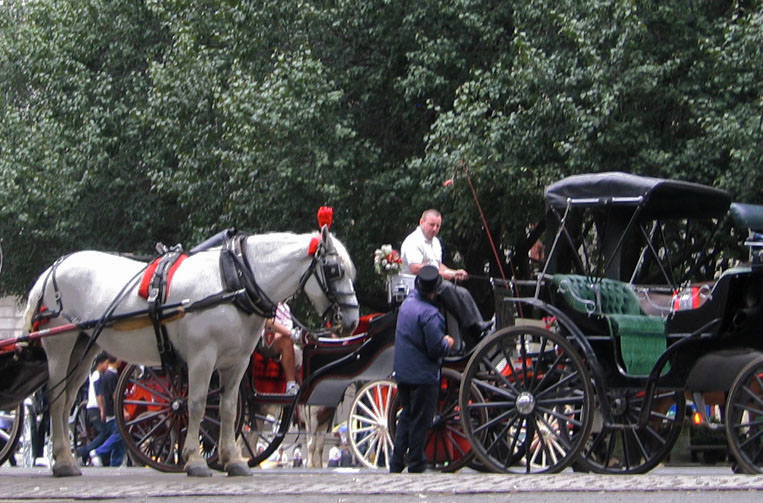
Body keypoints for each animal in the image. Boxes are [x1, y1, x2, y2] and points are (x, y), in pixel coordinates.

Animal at [23, 226, 358, 478]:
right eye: (334, 269)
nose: (352, 319)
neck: (234, 282)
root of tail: (52, 269)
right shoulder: (201, 358)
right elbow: (194, 405)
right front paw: (194, 460)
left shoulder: (236, 363)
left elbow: (229, 409)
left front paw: (232, 459)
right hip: (60, 345)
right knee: (56, 400)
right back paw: (63, 461)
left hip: (84, 347)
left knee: (67, 401)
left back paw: (65, 459)